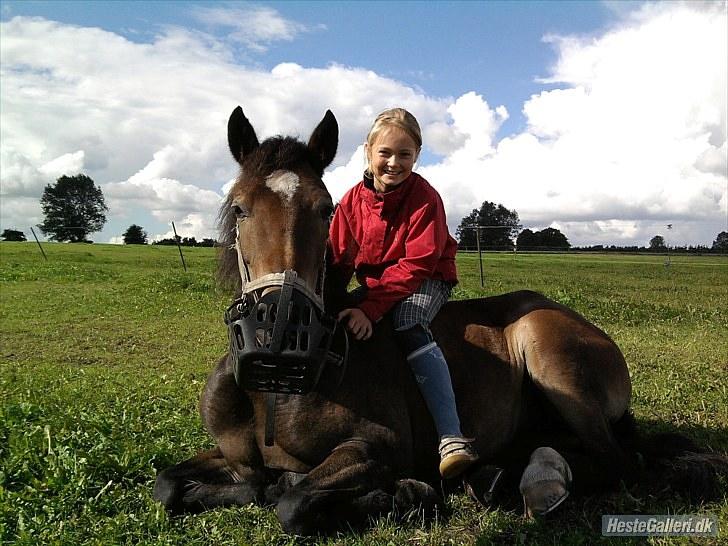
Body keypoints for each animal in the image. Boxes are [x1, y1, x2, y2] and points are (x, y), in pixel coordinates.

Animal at [152, 105, 724, 532]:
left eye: (325, 207)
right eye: (240, 207)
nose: (280, 329)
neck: (276, 394)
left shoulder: (376, 447)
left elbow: (292, 504)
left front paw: (402, 493)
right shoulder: (230, 456)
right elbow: (171, 484)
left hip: (551, 360)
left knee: (621, 463)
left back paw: (525, 479)